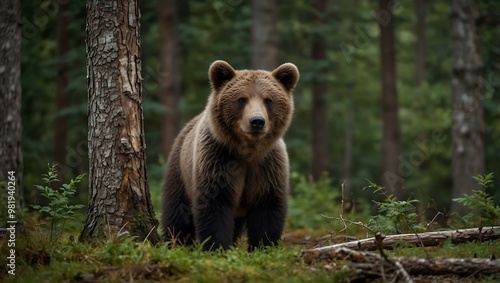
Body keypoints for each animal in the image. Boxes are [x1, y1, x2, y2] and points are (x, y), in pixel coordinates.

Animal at [162, 60, 298, 251]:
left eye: (268, 100)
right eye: (241, 99)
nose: (257, 121)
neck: (247, 151)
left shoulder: (268, 166)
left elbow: (267, 207)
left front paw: (263, 246)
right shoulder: (218, 159)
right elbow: (214, 206)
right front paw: (217, 247)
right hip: (180, 171)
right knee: (177, 214)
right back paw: (176, 244)